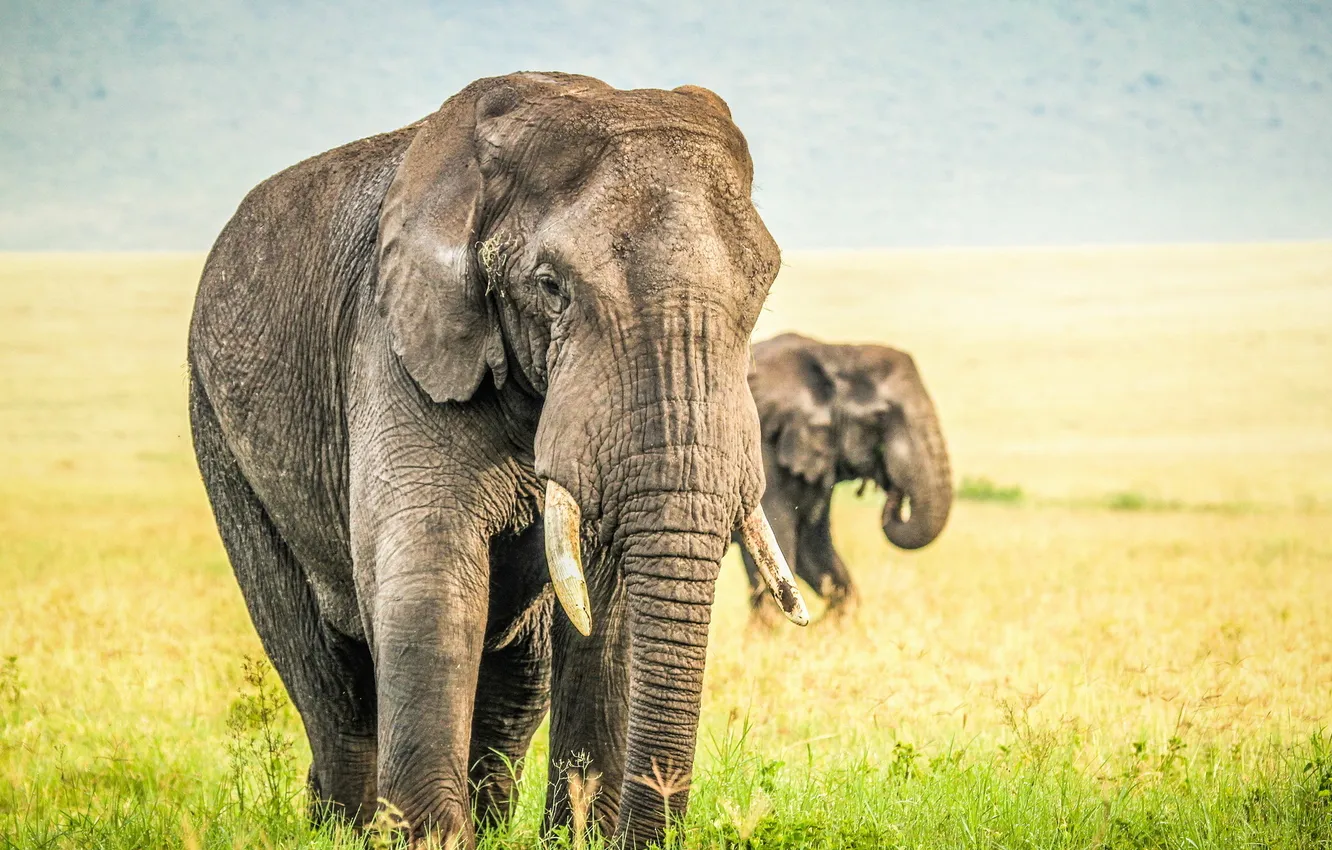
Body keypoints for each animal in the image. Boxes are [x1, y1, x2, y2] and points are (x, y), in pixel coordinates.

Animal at [187, 72, 809, 849]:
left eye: (764, 288)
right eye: (550, 286)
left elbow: (608, 607)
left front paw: (577, 837)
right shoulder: (393, 339)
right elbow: (431, 576)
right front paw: (430, 838)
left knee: (517, 678)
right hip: (217, 427)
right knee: (325, 677)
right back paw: (341, 827)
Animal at [738, 333, 952, 616]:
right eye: (880, 417)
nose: (895, 492)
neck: (835, 352)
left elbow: (813, 551)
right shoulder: (763, 453)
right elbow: (780, 549)